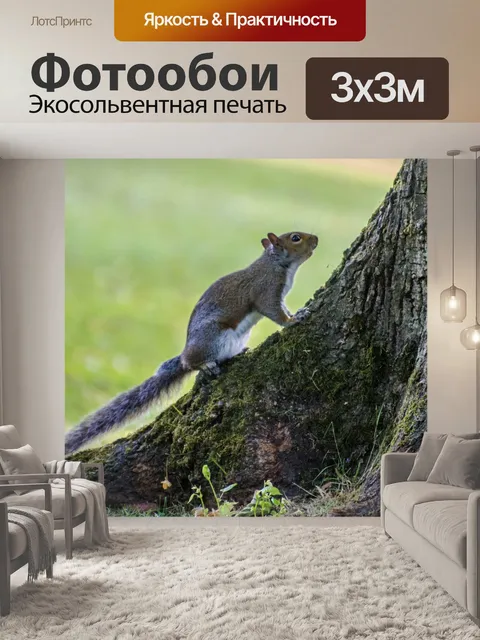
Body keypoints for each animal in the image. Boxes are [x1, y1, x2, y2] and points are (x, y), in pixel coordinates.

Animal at [65, 231, 318, 454]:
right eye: (296, 237)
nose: (316, 239)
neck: (276, 264)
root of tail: (184, 355)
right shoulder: (265, 291)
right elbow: (275, 312)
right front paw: (293, 321)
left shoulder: (279, 295)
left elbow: (283, 308)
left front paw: (297, 312)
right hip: (212, 337)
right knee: (194, 363)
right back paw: (206, 365)